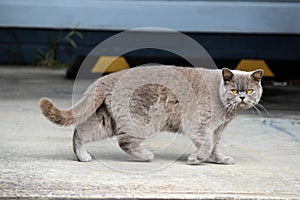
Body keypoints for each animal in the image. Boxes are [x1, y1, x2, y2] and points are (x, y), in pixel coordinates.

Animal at [39, 65, 262, 164]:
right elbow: (206, 144)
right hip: (143, 121)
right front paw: (195, 158)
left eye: (250, 90)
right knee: (125, 141)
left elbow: (214, 146)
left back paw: (83, 156)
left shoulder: (217, 130)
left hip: (106, 120)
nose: (242, 97)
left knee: (80, 131)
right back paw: (147, 156)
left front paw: (219, 159)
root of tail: (105, 79)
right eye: (234, 90)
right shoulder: (199, 124)